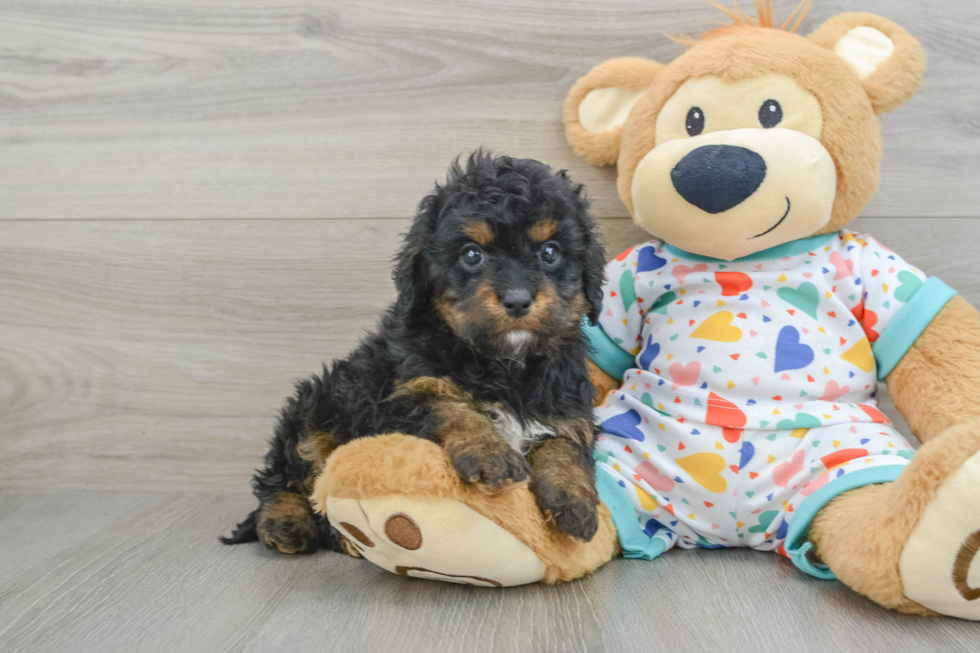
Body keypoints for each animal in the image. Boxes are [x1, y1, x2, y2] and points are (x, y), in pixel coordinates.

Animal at [220, 150, 604, 552]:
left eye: (550, 252)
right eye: (472, 254)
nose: (517, 300)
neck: (504, 362)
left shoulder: (565, 403)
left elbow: (566, 441)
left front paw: (575, 500)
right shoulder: (399, 397)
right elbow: (450, 406)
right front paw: (492, 453)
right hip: (316, 405)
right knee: (286, 473)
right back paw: (284, 522)